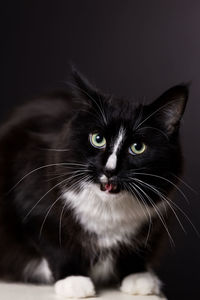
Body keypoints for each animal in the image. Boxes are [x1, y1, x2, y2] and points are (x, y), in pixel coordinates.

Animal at [0, 68, 188, 298]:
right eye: (97, 139)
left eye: (138, 147)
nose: (109, 169)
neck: (108, 211)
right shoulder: (33, 204)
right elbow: (54, 242)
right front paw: (73, 281)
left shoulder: (158, 215)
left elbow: (138, 247)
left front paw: (137, 275)